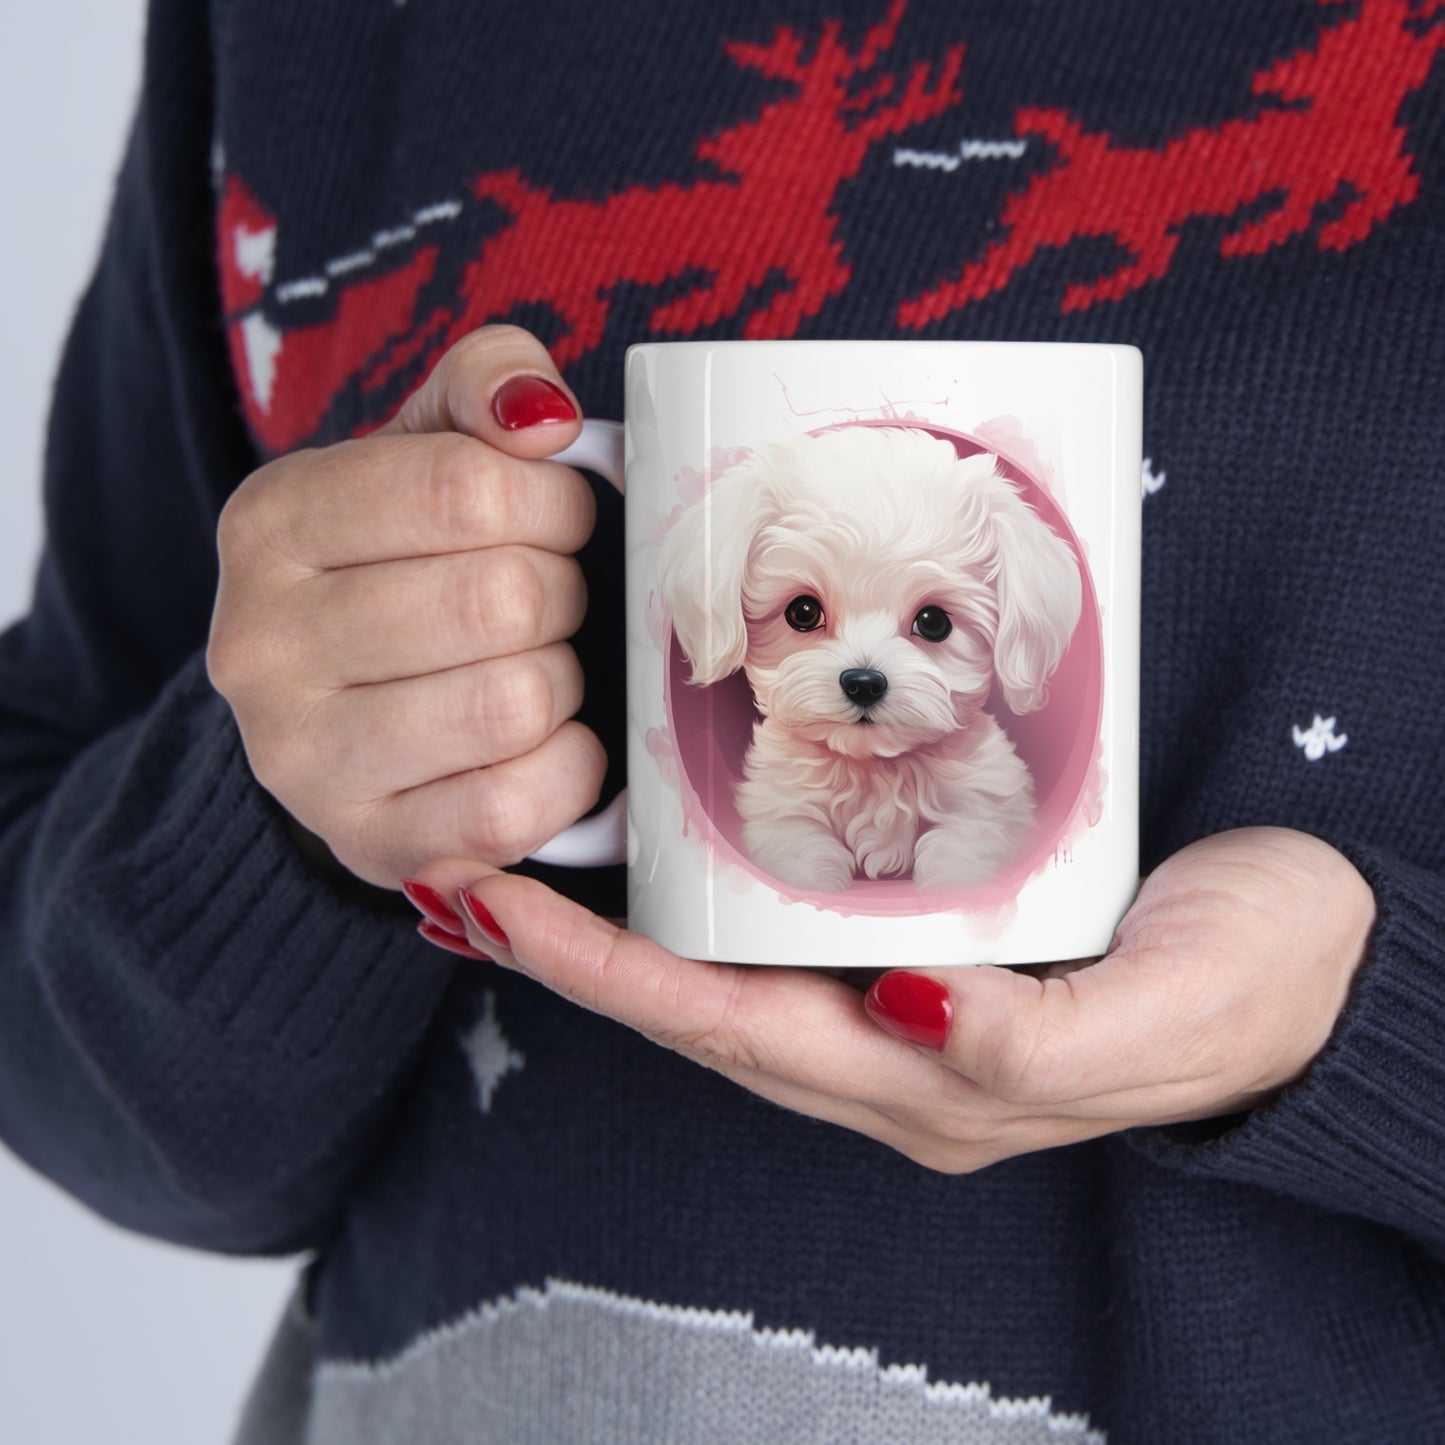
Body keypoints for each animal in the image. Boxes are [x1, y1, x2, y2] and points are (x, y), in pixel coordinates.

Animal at [661, 421, 1080, 884]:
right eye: (803, 612)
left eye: (933, 622)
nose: (863, 683)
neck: (874, 769)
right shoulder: (785, 819)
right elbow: (803, 862)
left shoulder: (983, 812)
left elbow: (960, 860)